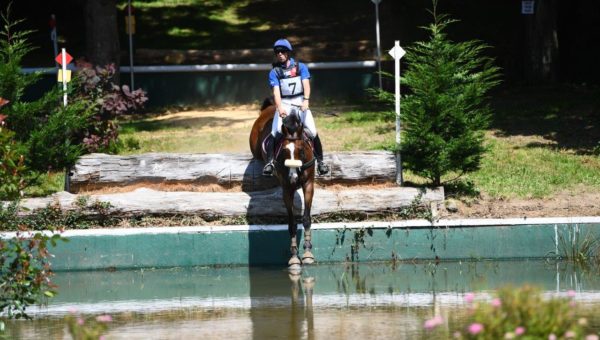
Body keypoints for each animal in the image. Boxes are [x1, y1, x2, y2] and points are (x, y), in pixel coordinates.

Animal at [248, 97, 316, 268]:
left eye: (302, 151)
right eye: (284, 152)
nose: (293, 178)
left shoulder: (309, 185)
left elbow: (306, 218)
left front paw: (307, 253)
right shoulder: (287, 189)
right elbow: (291, 223)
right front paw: (294, 256)